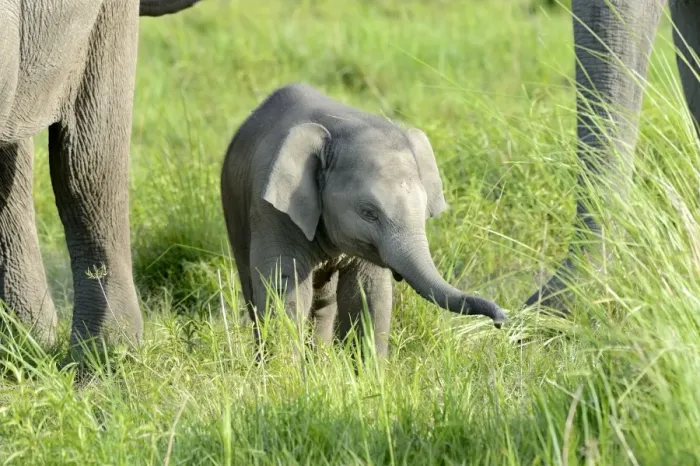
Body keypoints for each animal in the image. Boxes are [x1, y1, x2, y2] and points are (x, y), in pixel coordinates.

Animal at [221, 83, 506, 359]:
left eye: (423, 210)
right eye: (368, 212)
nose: (501, 320)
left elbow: (369, 295)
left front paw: (370, 372)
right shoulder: (273, 212)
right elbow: (284, 290)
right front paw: (285, 370)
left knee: (323, 302)